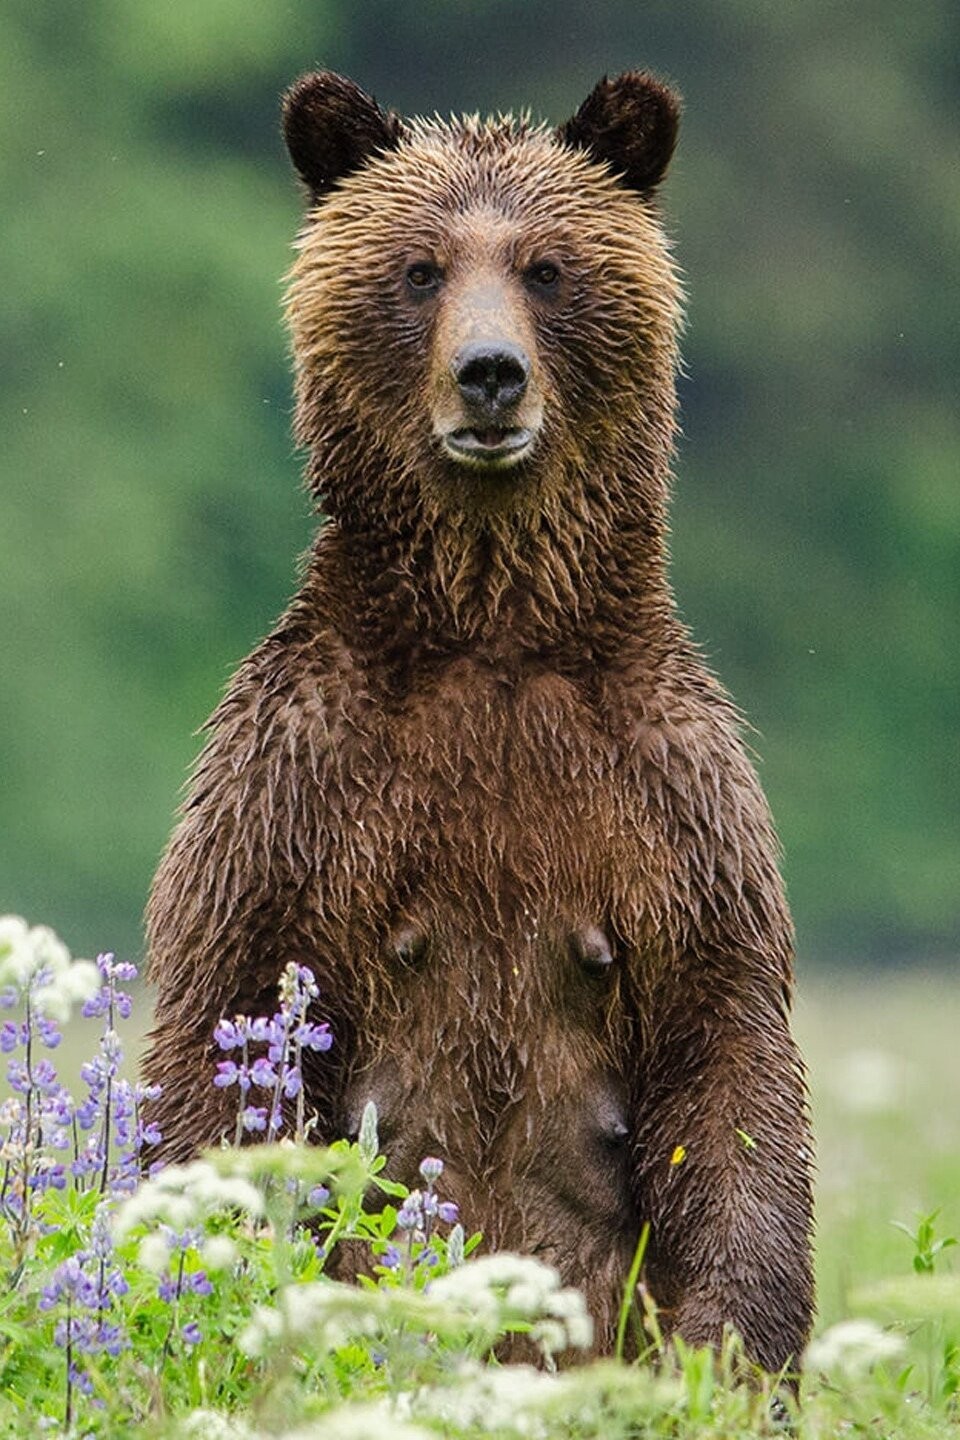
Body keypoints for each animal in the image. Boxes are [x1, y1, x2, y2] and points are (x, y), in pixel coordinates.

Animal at [146, 70, 817, 1370]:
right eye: (419, 268)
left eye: (548, 267)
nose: (491, 374)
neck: (492, 627)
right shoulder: (297, 777)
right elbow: (222, 1024)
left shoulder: (670, 795)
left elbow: (729, 1060)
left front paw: (728, 1351)